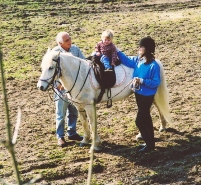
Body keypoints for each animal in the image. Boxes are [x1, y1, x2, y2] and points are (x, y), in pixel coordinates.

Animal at [37, 48, 170, 152]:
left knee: (157, 108)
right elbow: (85, 123)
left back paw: (162, 127)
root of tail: (154, 61)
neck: (79, 75)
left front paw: (95, 146)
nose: (40, 87)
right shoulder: (80, 106)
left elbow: (92, 124)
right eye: (42, 68)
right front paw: (85, 140)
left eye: (51, 67)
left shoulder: (89, 106)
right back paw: (143, 135)